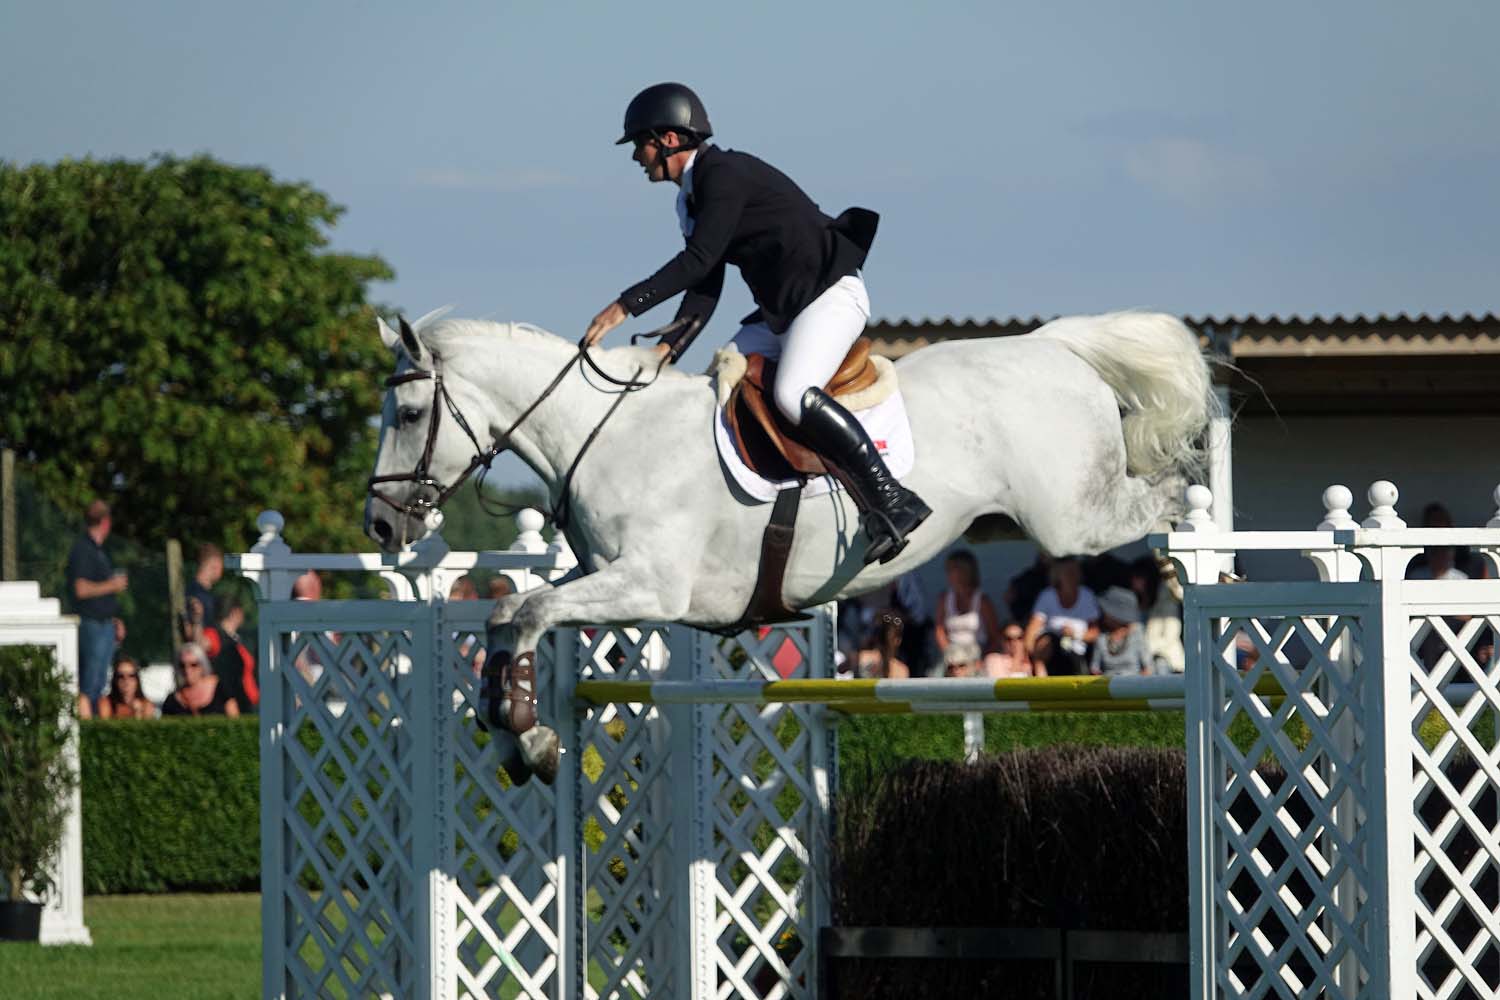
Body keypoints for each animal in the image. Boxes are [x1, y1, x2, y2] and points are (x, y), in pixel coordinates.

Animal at [363, 313, 1218, 779]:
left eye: (407, 413)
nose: (380, 527)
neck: (605, 433)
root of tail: (1052, 345)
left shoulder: (649, 586)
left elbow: (530, 611)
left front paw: (526, 733)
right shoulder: (607, 580)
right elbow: (507, 614)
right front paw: (522, 736)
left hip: (1072, 519)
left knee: (1170, 496)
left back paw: (1192, 561)